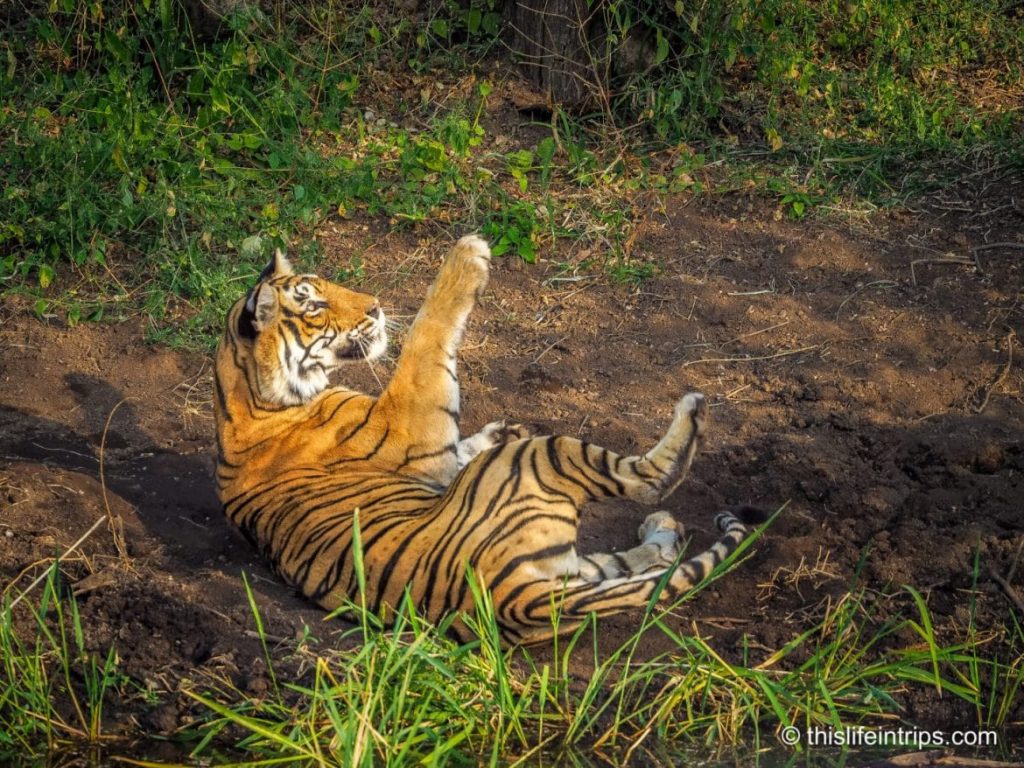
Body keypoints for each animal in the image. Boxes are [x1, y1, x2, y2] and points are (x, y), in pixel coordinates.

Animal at [214, 235, 759, 645]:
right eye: (315, 303)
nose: (376, 307)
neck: (248, 401)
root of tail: (514, 596)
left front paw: (499, 429)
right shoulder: (410, 414)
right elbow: (425, 335)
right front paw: (469, 255)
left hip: (568, 560)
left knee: (630, 563)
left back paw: (662, 529)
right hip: (541, 457)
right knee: (650, 478)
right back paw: (691, 416)